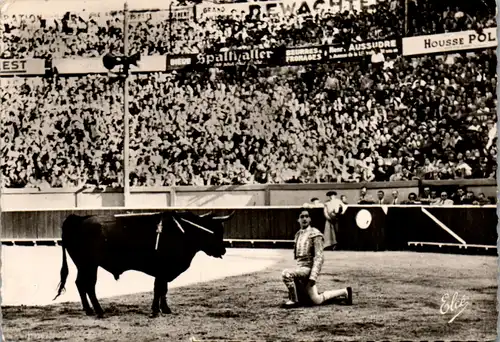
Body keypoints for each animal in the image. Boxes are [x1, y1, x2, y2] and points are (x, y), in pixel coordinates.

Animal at [53, 210, 233, 320]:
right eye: (215, 231)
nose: (223, 250)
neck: (183, 231)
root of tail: (78, 219)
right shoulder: (162, 270)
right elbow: (159, 289)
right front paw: (156, 310)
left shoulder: (163, 271)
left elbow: (162, 289)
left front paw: (164, 309)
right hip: (89, 265)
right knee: (89, 285)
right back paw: (98, 311)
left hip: (83, 266)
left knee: (80, 284)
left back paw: (89, 310)